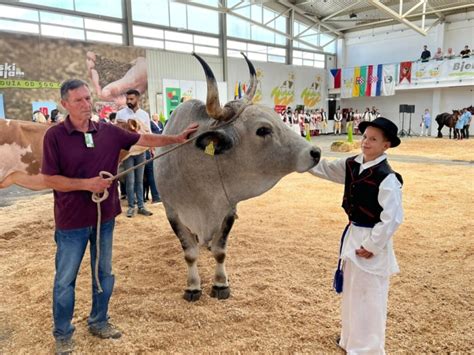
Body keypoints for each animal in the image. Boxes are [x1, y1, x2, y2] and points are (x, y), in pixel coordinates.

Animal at [157, 53, 320, 304]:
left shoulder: (228, 210)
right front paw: (193, 286)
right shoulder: (172, 212)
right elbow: (190, 253)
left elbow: (220, 250)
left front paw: (221, 283)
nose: (315, 152)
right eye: (262, 130)